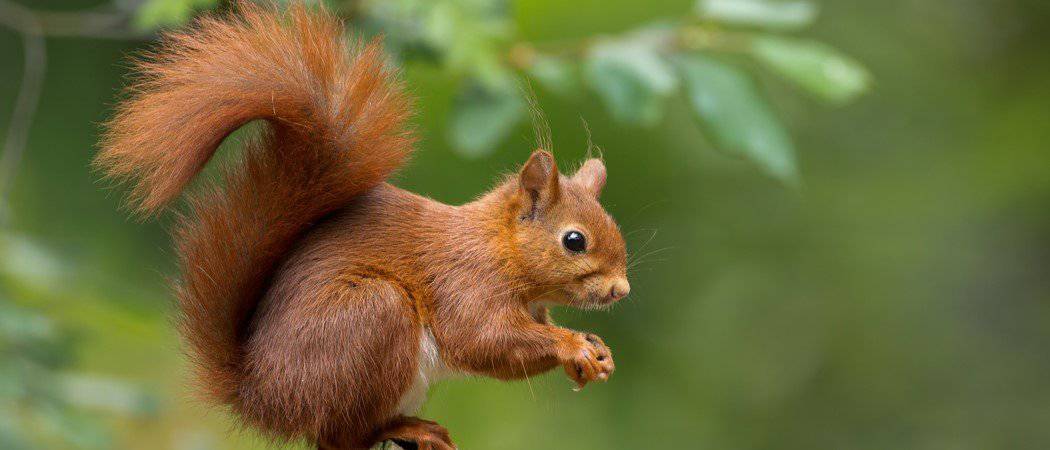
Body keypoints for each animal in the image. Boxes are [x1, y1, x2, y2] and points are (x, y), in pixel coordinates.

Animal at [96, 2, 630, 449]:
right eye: (574, 240)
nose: (620, 290)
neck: (499, 248)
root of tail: (260, 396)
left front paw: (594, 352)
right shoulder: (465, 283)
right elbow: (483, 340)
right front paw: (571, 345)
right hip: (372, 319)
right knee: (339, 437)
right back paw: (408, 428)